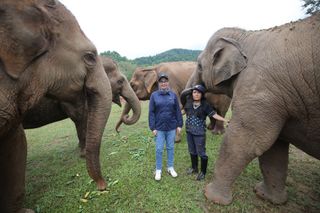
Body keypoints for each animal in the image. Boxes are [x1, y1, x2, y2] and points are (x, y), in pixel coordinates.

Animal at [192, 12, 320, 205]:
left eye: (199, 66)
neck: (246, 36)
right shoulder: (275, 98)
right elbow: (273, 150)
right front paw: (266, 197)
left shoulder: (259, 90)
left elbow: (245, 141)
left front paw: (211, 196)